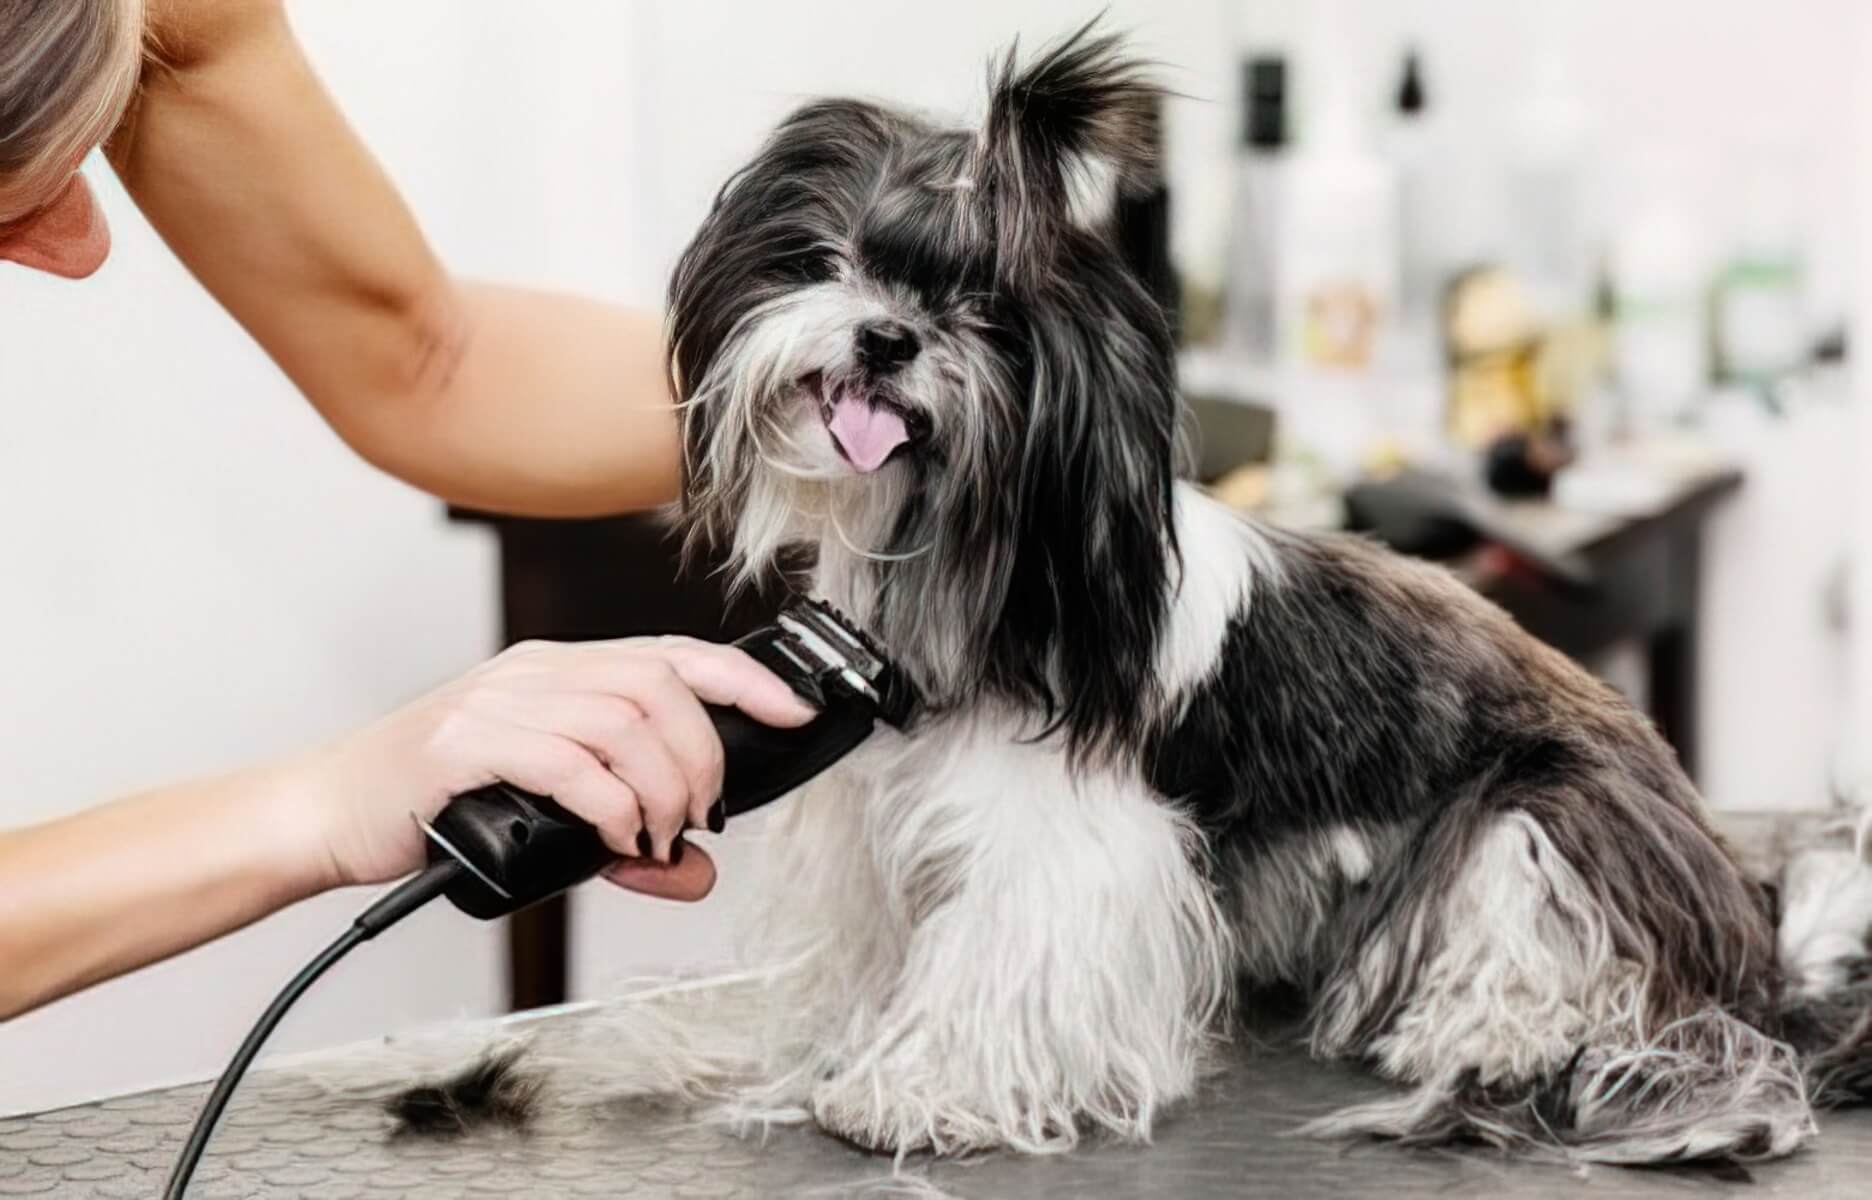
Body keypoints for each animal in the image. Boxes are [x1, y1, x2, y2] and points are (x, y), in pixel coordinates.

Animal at [392, 25, 1872, 1165]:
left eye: (989, 318)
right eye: (833, 262)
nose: (888, 338)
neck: (960, 563)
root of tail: (1752, 924)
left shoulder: (1071, 841)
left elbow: (1002, 958)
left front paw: (913, 1092)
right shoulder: (870, 804)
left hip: (1534, 819)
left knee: (1554, 943)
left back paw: (1484, 1030)